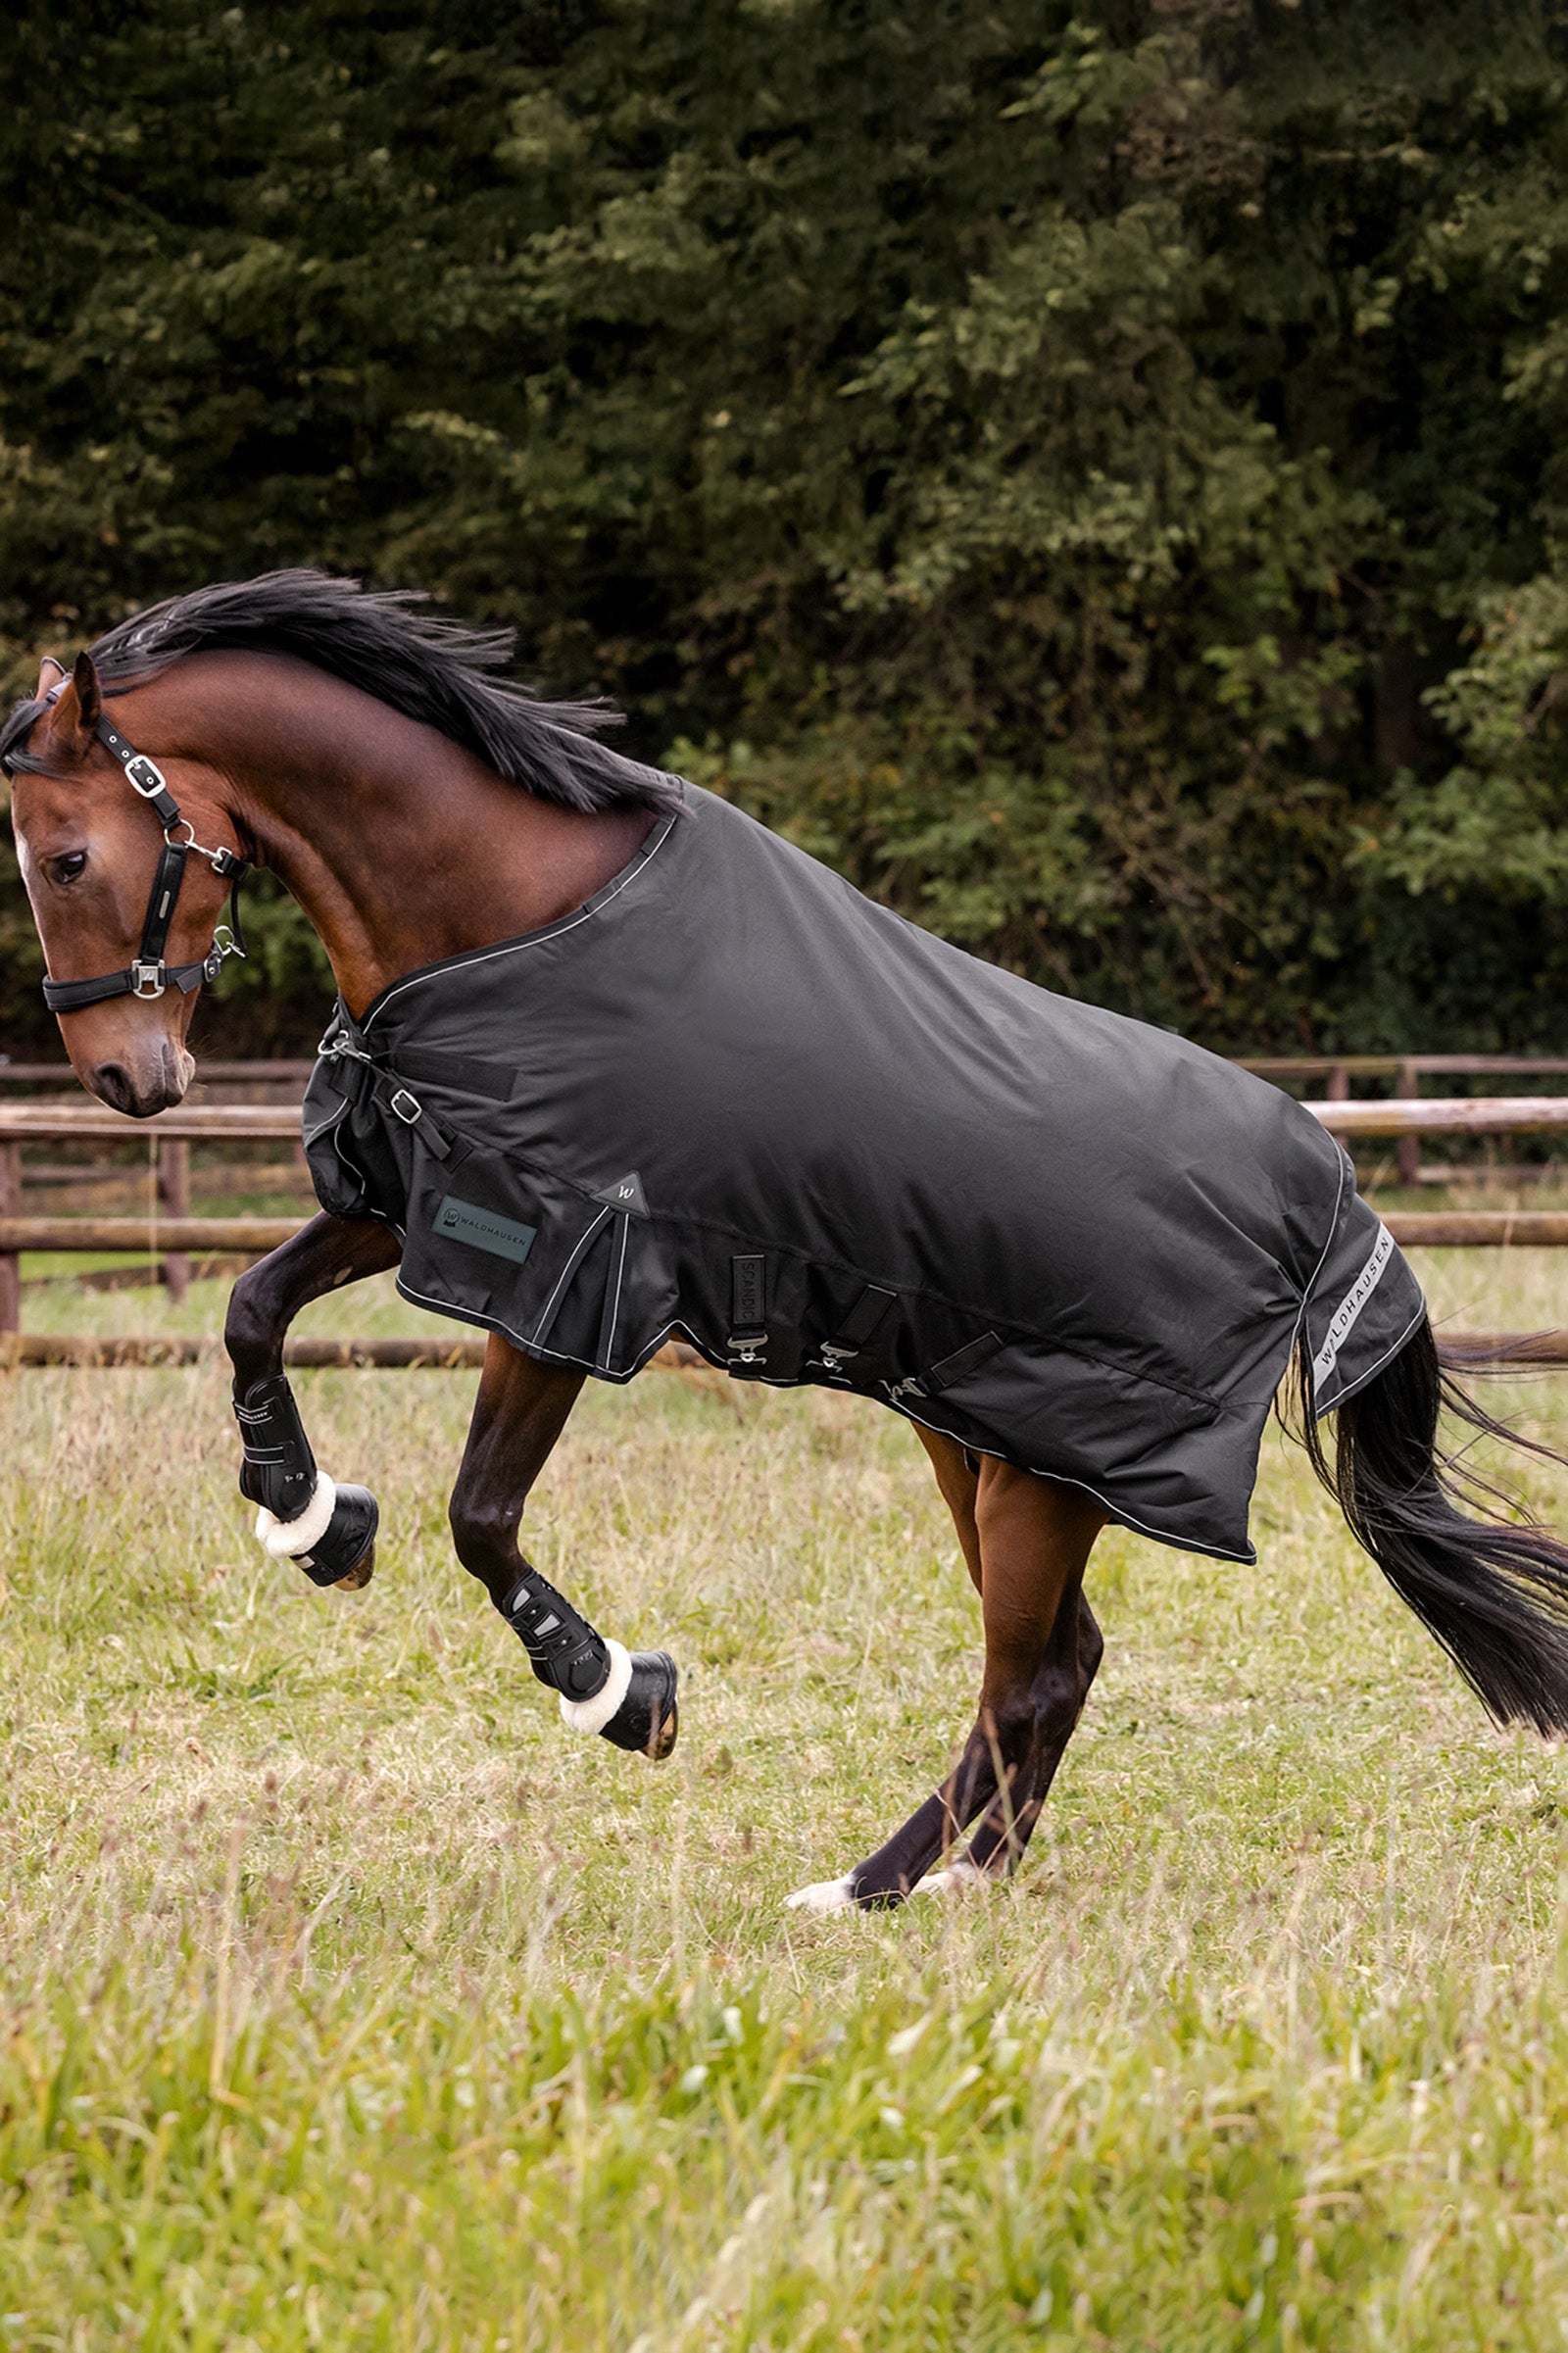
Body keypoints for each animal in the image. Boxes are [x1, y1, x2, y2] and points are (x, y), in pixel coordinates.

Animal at [9, 571, 1568, 1915]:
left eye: (70, 854)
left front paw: (617, 1691)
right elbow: (249, 1309)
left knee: (1029, 1676)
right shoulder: (426, 1195)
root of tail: (1330, 1196)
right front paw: (310, 1517)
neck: (513, 917)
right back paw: (955, 1881)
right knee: (1057, 1665)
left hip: (1042, 1471)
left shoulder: (570, 1264)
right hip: (982, 1439)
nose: (128, 1079)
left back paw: (875, 1890)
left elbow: (481, 1514)